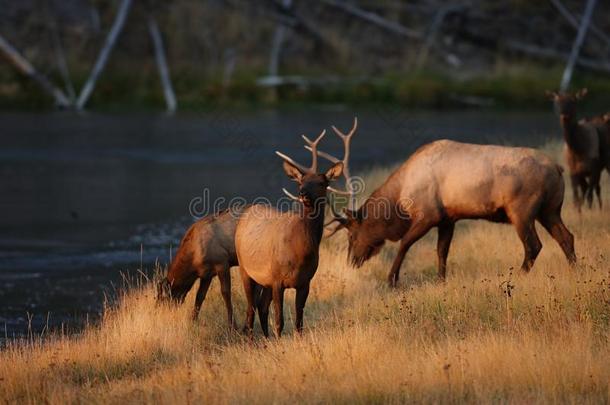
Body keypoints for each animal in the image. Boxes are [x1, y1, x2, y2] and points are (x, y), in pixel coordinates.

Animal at [235, 130, 344, 338]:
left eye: (321, 182)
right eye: (301, 181)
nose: (302, 193)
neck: (301, 251)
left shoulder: (305, 281)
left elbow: (299, 322)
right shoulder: (277, 278)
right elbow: (280, 320)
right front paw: (279, 341)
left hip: (264, 280)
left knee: (260, 306)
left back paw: (266, 339)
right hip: (245, 269)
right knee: (250, 308)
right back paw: (253, 340)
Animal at [326, 139, 572, 288]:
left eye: (351, 235)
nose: (351, 261)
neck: (400, 199)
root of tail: (558, 168)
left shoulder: (429, 215)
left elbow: (405, 244)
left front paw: (391, 280)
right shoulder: (448, 218)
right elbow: (442, 250)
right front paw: (441, 280)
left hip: (522, 211)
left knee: (534, 245)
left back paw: (517, 277)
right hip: (550, 210)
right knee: (566, 237)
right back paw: (575, 270)